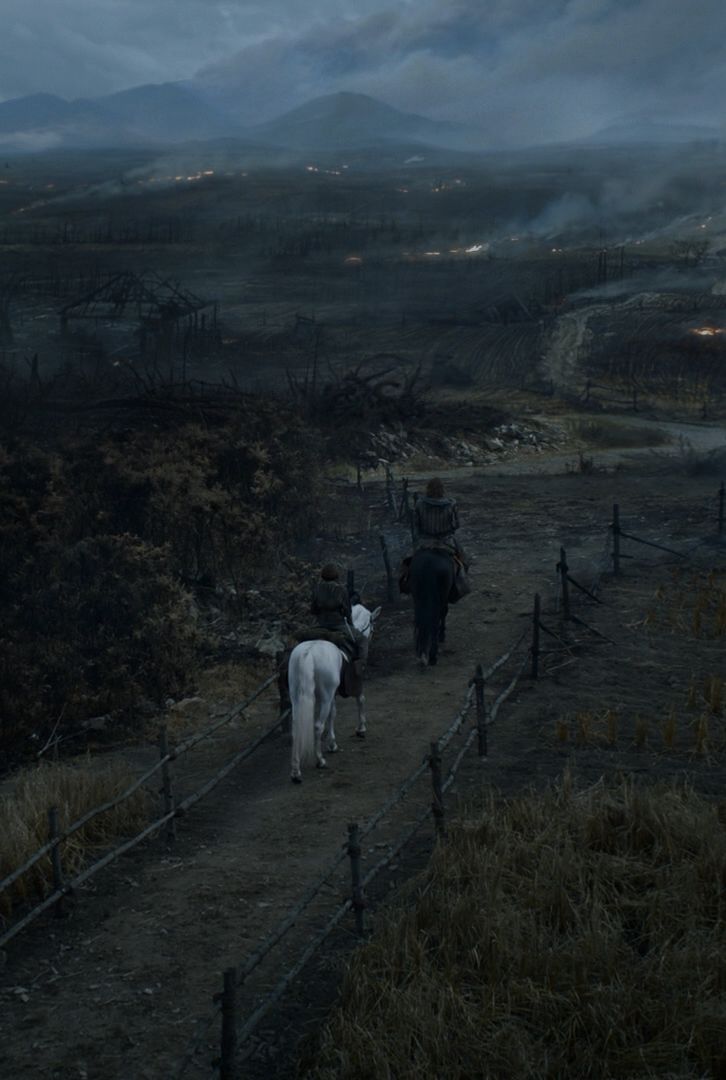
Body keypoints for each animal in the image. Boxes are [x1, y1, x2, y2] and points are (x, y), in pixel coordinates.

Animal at [289, 600, 382, 786]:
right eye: (371, 624)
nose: (372, 635)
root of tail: (307, 653)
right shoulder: (354, 681)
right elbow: (360, 699)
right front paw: (361, 728)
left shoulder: (331, 694)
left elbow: (333, 714)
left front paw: (332, 743)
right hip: (324, 696)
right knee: (317, 726)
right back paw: (320, 761)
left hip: (296, 696)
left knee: (296, 728)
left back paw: (296, 771)